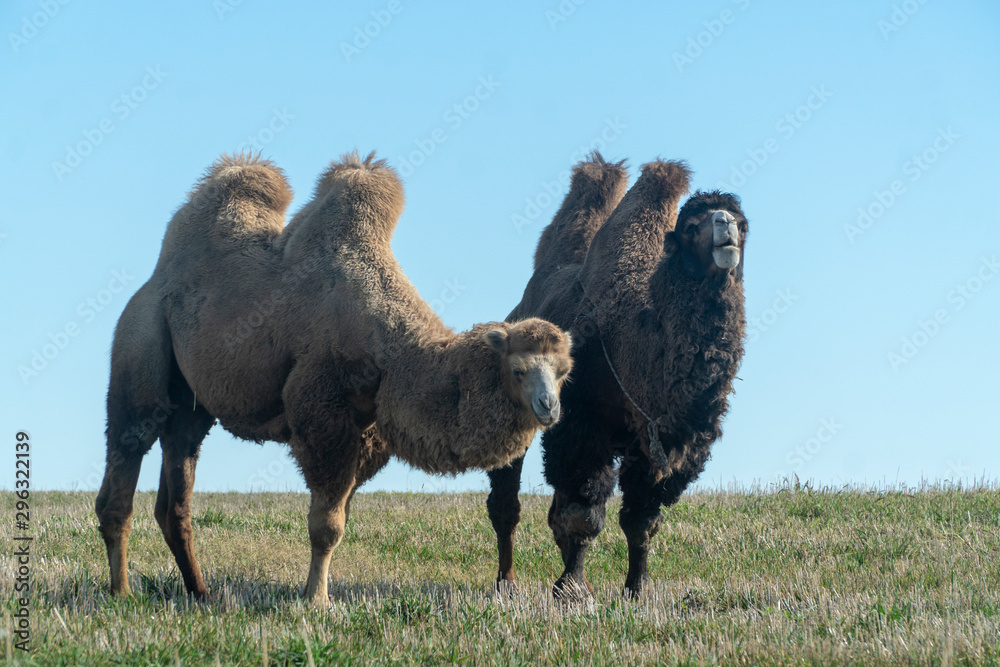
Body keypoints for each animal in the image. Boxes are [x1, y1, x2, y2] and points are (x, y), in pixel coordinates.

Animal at [95, 152, 573, 607]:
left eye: (564, 371)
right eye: (519, 369)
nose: (549, 408)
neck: (389, 346)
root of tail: (154, 281)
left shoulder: (366, 434)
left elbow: (339, 518)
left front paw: (313, 592)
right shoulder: (322, 415)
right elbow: (326, 525)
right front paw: (317, 600)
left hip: (192, 403)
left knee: (176, 489)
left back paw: (201, 593)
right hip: (141, 340)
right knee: (125, 458)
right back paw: (122, 592)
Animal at [486, 153, 747, 598]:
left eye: (744, 224)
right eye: (690, 226)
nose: (725, 224)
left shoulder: (663, 448)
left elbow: (641, 521)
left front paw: (636, 590)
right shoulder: (581, 422)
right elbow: (585, 513)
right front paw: (572, 592)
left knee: (554, 511)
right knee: (507, 501)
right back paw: (507, 584)